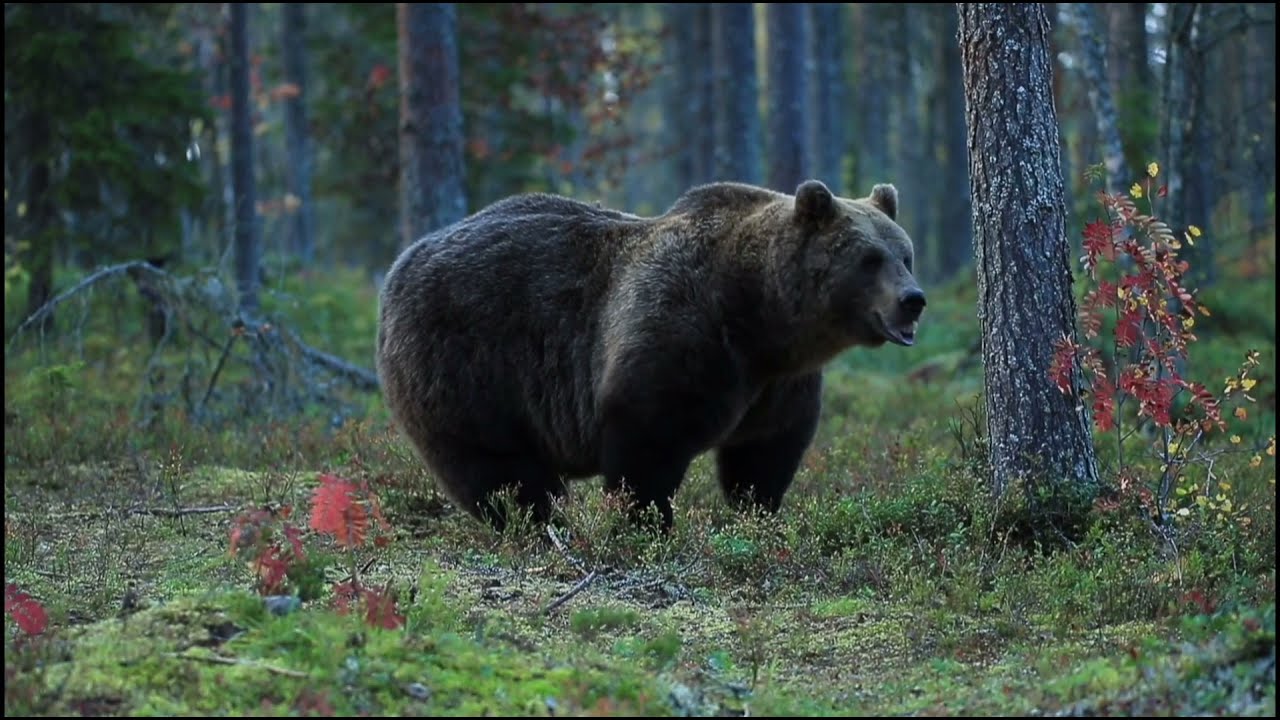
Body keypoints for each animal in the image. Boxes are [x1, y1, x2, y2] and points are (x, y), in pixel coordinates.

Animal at [375, 179, 925, 532]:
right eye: (869, 259)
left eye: (905, 253)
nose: (913, 299)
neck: (760, 318)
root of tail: (401, 263)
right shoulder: (682, 334)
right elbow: (646, 442)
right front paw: (646, 524)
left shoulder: (780, 384)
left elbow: (766, 452)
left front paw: (759, 511)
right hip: (467, 364)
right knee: (495, 467)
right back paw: (541, 523)